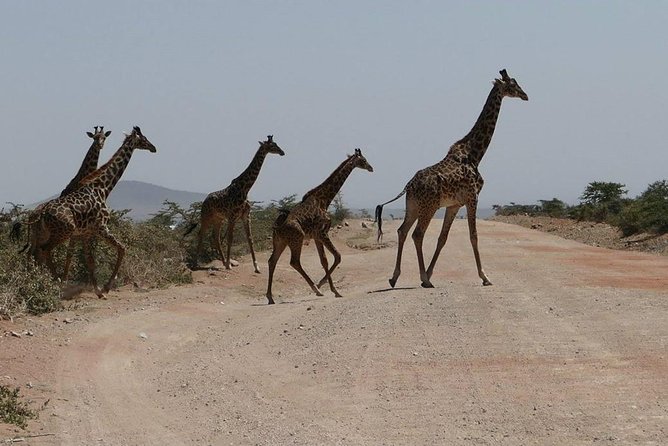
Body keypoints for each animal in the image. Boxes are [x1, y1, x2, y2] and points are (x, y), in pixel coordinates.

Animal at [33, 126, 156, 297]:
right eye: (143, 139)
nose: (154, 148)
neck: (103, 187)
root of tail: (43, 213)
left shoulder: (86, 232)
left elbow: (90, 261)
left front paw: (98, 291)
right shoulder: (101, 227)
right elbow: (122, 248)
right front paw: (105, 288)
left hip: (52, 233)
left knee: (38, 253)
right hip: (64, 231)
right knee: (44, 251)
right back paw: (54, 284)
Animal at [184, 135, 284, 273]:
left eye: (276, 143)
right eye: (273, 145)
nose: (282, 152)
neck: (245, 188)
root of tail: (205, 200)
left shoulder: (246, 216)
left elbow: (250, 239)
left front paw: (256, 267)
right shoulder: (232, 216)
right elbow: (230, 238)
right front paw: (228, 264)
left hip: (218, 219)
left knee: (215, 237)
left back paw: (222, 261)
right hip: (206, 216)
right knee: (201, 234)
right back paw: (195, 263)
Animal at [266, 148, 373, 304]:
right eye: (363, 160)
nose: (371, 168)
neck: (324, 200)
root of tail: (278, 227)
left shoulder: (316, 236)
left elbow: (324, 261)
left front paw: (330, 288)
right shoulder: (322, 233)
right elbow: (337, 256)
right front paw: (330, 288)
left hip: (280, 241)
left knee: (272, 261)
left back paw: (270, 297)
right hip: (297, 239)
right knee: (294, 262)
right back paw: (316, 289)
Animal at [375, 69, 528, 288]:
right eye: (512, 84)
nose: (525, 95)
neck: (475, 154)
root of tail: (408, 185)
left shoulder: (454, 204)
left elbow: (443, 238)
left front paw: (430, 273)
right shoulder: (473, 197)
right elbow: (473, 236)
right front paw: (485, 277)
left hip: (412, 206)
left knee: (402, 231)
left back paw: (395, 277)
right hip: (428, 206)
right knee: (417, 234)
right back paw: (422, 279)